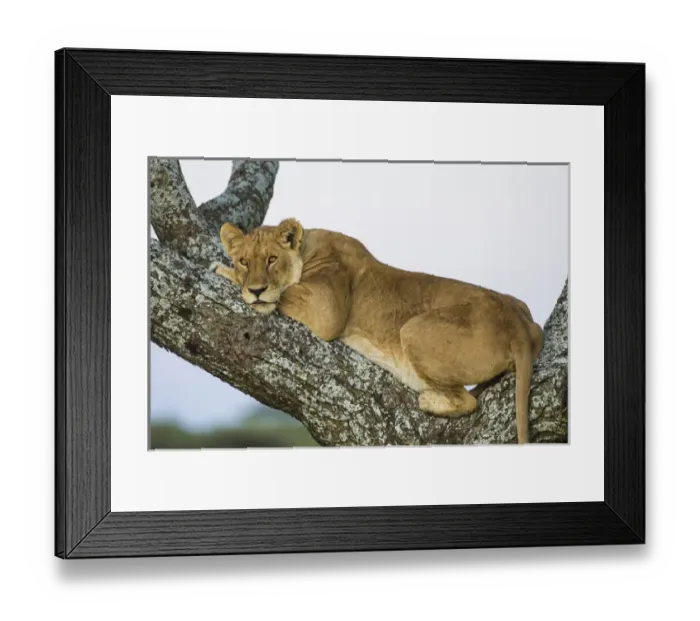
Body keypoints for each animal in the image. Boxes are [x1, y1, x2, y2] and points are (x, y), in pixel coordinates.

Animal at [210, 218, 544, 444]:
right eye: (244, 261)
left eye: (271, 259)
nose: (256, 289)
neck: (307, 247)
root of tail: (517, 323)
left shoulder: (326, 309)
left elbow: (282, 293)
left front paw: (224, 272)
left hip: (413, 329)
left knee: (468, 402)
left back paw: (429, 400)